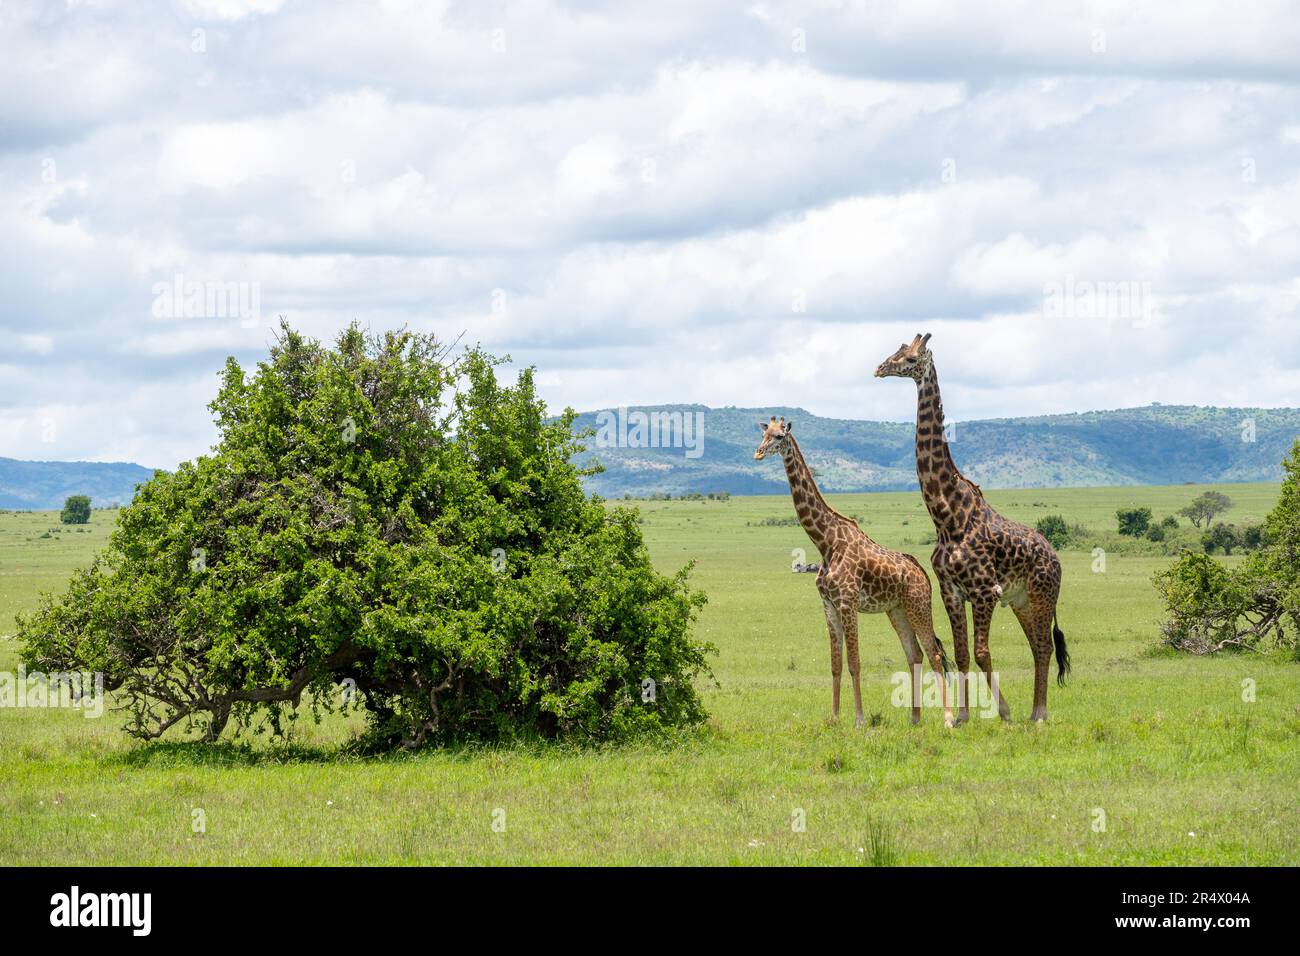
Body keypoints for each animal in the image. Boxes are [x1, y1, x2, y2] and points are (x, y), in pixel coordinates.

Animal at [754, 416, 956, 728]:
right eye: (763, 434)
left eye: (779, 437)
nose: (759, 453)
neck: (825, 541)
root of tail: (922, 573)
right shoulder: (828, 604)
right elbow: (836, 664)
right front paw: (835, 717)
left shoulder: (847, 603)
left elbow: (854, 662)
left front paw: (859, 719)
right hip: (896, 610)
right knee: (914, 654)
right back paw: (914, 719)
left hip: (918, 605)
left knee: (933, 653)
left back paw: (947, 718)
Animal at [873, 332, 1066, 723]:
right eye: (896, 351)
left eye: (910, 358)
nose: (880, 368)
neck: (948, 517)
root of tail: (1055, 558)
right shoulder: (950, 590)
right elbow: (961, 653)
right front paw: (961, 717)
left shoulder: (984, 590)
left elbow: (981, 652)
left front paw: (1003, 712)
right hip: (1022, 601)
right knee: (1036, 646)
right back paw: (1034, 711)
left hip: (1043, 594)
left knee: (1043, 646)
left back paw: (1038, 714)